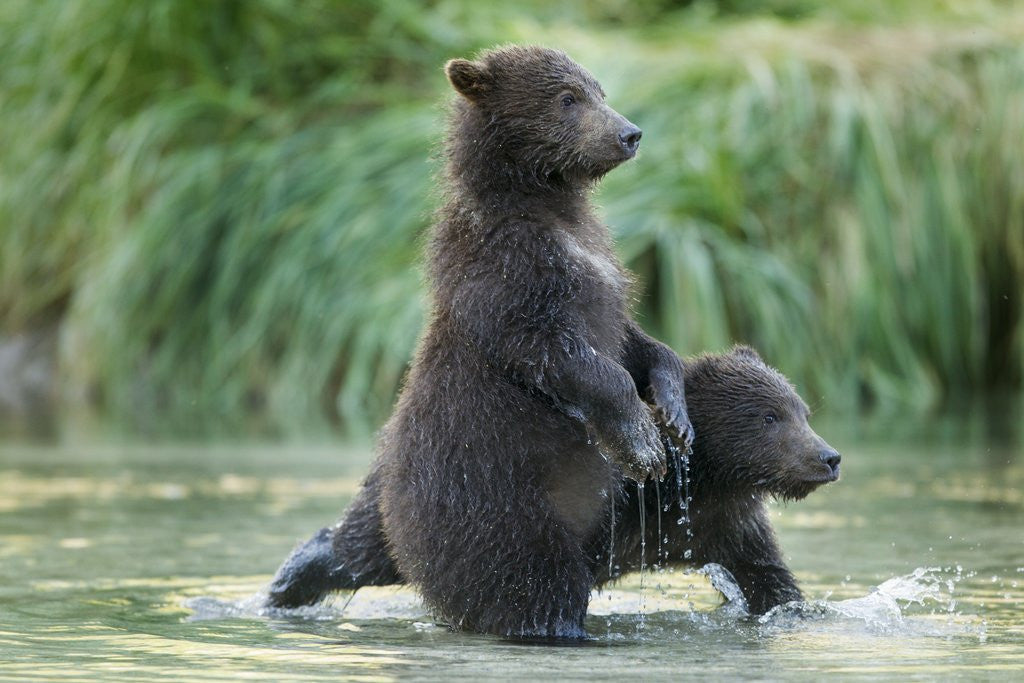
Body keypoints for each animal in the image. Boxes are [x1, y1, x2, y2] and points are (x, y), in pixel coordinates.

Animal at [265, 45, 695, 640]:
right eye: (568, 98)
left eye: (598, 90)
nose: (630, 133)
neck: (544, 202)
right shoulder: (508, 271)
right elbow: (561, 353)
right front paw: (643, 443)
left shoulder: (601, 269)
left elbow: (635, 343)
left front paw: (675, 414)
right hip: (495, 495)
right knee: (536, 580)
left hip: (392, 488)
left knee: (362, 546)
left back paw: (294, 576)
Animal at [266, 346, 840, 624]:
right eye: (769, 417)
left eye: (803, 411)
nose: (828, 457)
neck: (701, 482)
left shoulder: (723, 524)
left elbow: (767, 577)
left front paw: (798, 607)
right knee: (365, 550)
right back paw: (287, 583)